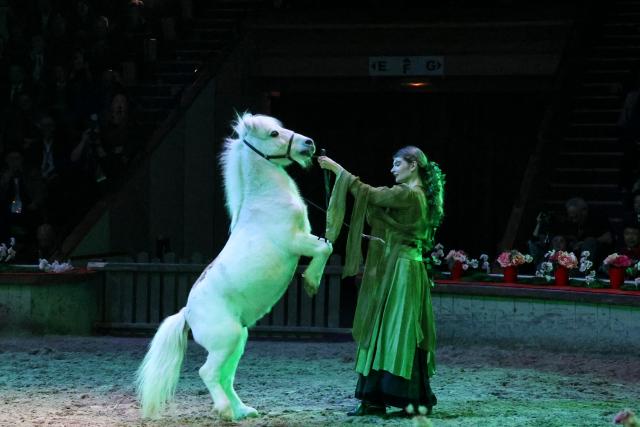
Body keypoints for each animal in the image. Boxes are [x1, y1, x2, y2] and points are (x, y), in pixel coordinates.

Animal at [135, 113, 333, 421]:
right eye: (273, 133)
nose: (309, 143)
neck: (265, 201)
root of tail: (187, 313)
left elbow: (327, 246)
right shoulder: (295, 242)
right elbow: (326, 248)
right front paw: (312, 282)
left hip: (238, 341)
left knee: (226, 376)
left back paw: (243, 411)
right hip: (226, 340)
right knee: (208, 372)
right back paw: (226, 410)